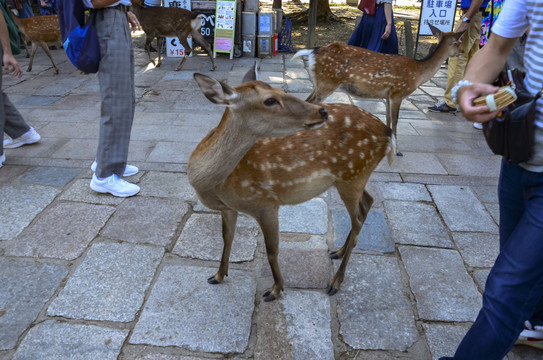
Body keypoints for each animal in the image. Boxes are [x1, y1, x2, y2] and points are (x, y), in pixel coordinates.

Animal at [190, 64, 396, 300]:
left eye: (278, 89)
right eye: (270, 100)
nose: (321, 111)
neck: (211, 184)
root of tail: (388, 133)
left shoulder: (266, 203)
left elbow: (272, 251)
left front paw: (275, 289)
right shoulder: (227, 208)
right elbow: (227, 238)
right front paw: (217, 275)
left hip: (354, 175)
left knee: (358, 219)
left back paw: (335, 282)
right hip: (352, 176)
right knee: (367, 202)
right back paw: (337, 251)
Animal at [296, 25, 466, 155]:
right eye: (458, 41)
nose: (463, 51)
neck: (419, 73)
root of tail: (312, 52)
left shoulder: (387, 96)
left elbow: (388, 118)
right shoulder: (398, 92)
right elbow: (396, 120)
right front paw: (397, 150)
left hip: (319, 83)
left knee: (307, 102)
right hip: (328, 83)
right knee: (309, 103)